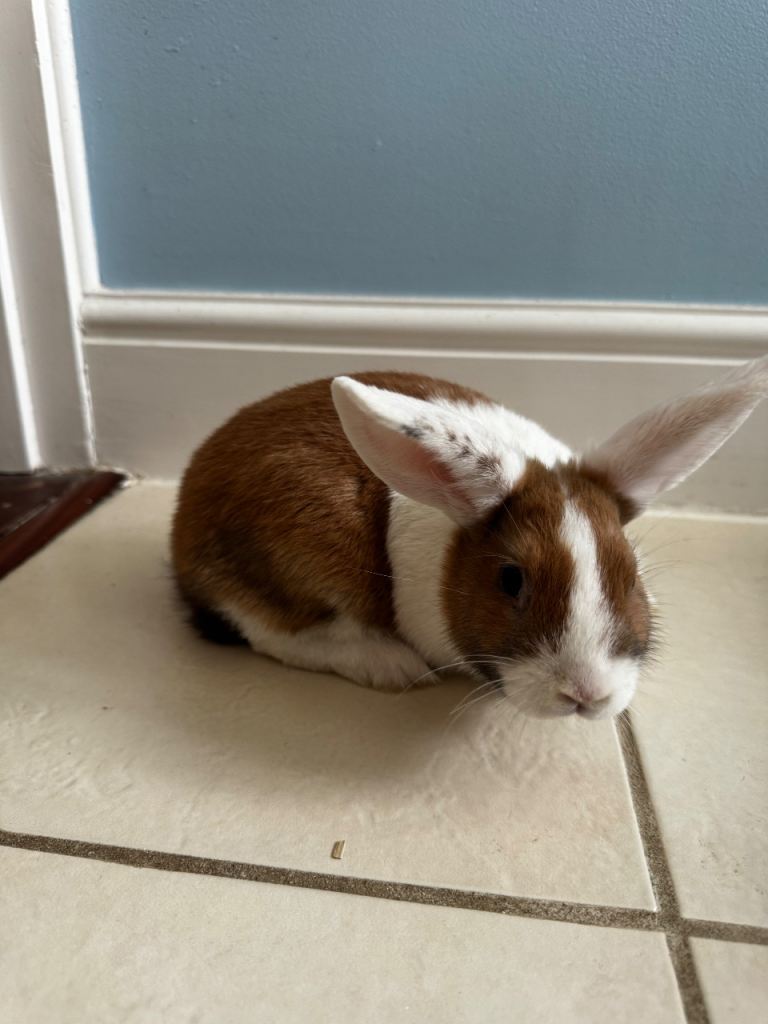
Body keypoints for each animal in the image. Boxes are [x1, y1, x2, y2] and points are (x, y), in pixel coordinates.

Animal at [171, 357, 767, 720]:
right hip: (301, 562)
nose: (586, 694)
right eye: (511, 580)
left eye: (631, 575)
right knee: (270, 631)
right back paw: (391, 665)